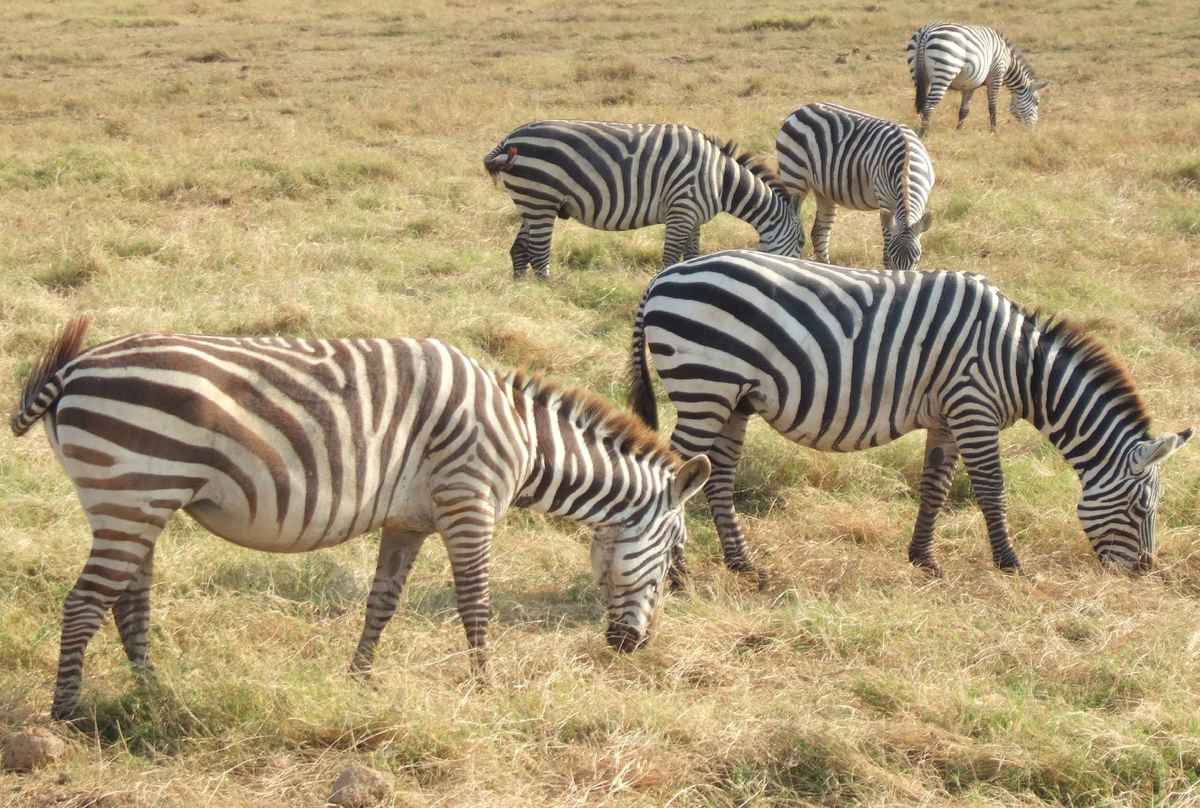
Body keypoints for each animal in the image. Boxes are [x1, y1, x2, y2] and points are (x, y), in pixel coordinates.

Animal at [11, 318, 710, 720]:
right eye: (672, 559)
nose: (630, 647)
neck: (522, 438)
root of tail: (73, 369)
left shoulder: (408, 520)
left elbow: (383, 601)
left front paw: (360, 680)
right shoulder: (470, 501)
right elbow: (475, 601)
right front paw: (486, 689)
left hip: (138, 504)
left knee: (127, 600)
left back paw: (153, 695)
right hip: (131, 493)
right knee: (84, 603)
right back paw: (67, 715)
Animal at [484, 119, 802, 279]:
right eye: (800, 244)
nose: (794, 273)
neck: (720, 179)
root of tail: (509, 139)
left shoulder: (694, 216)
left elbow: (691, 254)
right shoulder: (682, 209)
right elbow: (670, 257)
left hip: (532, 201)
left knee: (519, 250)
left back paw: (523, 292)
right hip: (541, 198)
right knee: (538, 253)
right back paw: (549, 291)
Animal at [627, 250, 1191, 578]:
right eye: (1143, 508)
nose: (1144, 571)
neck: (1018, 365)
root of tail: (664, 276)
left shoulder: (947, 415)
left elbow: (935, 486)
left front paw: (924, 559)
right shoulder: (973, 404)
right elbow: (991, 488)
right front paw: (1010, 563)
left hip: (733, 397)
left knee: (718, 477)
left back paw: (742, 564)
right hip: (704, 383)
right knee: (680, 472)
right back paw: (677, 573)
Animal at [775, 103, 935, 272]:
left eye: (917, 260)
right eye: (893, 259)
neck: (906, 164)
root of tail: (802, 108)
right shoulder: (885, 202)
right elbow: (886, 245)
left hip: (823, 190)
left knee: (819, 233)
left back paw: (826, 267)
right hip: (794, 177)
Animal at [907, 23, 1049, 136]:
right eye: (1037, 102)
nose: (1032, 130)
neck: (1008, 62)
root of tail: (926, 32)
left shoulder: (969, 85)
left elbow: (964, 110)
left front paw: (958, 131)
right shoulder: (996, 76)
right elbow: (992, 106)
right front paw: (994, 131)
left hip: (919, 76)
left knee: (922, 103)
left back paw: (920, 129)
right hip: (945, 71)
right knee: (929, 105)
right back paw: (924, 133)